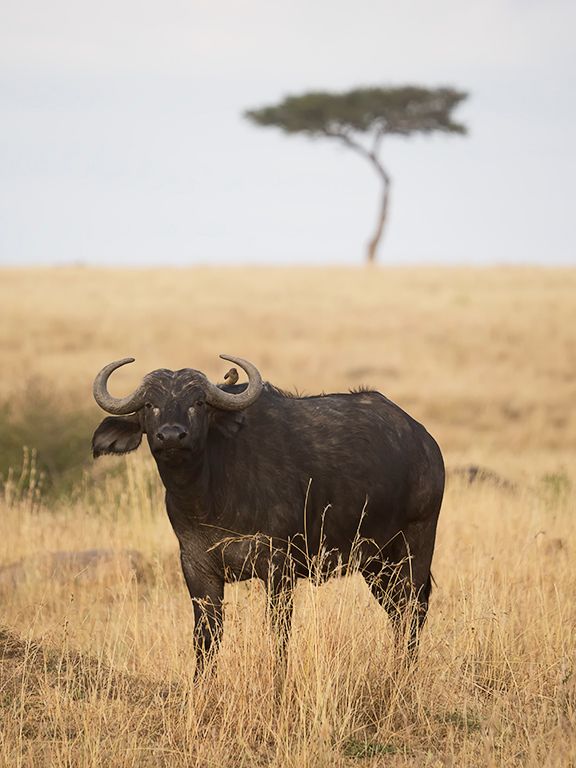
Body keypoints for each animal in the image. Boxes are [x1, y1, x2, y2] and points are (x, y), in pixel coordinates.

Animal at [92, 355, 444, 671]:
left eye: (199, 403)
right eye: (149, 405)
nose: (171, 436)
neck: (209, 497)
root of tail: (424, 441)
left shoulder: (279, 568)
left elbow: (278, 635)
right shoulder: (197, 567)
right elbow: (206, 637)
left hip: (415, 544)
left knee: (414, 609)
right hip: (375, 563)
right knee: (397, 613)